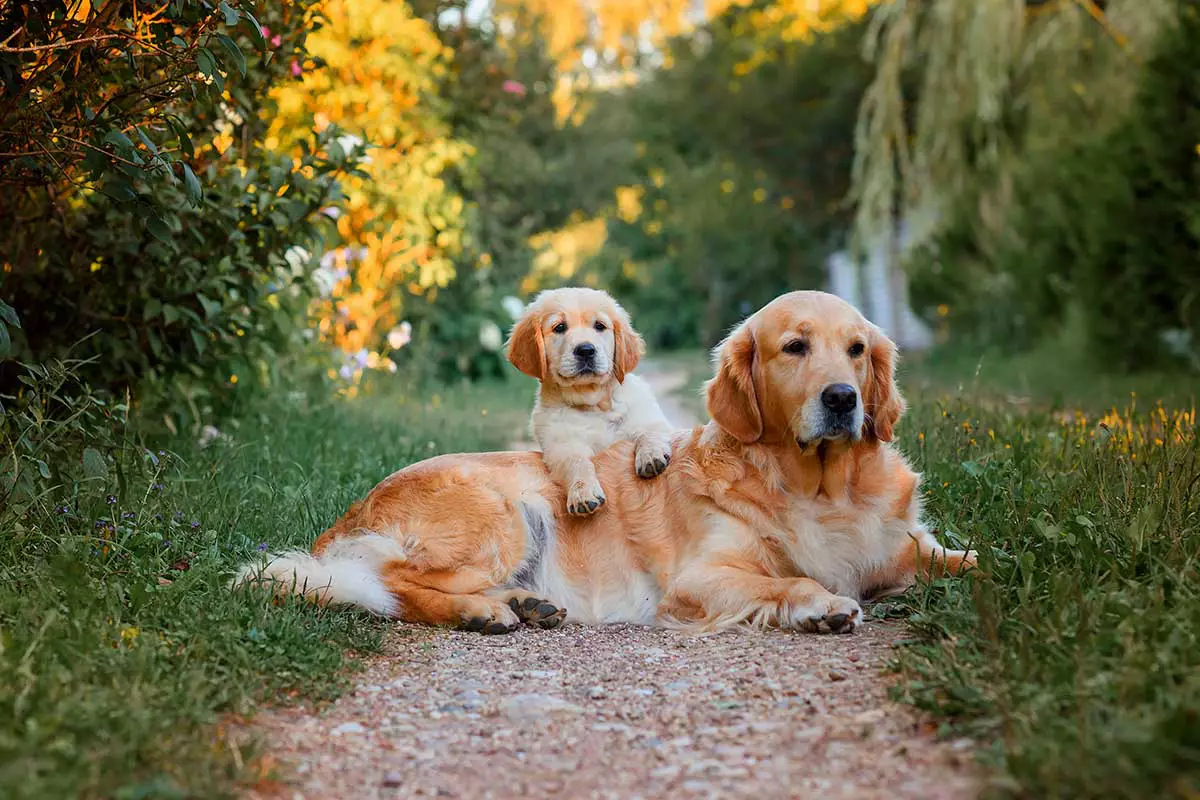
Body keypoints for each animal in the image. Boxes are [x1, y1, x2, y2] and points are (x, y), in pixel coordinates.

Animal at [504, 287, 676, 520]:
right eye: (559, 327)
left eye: (599, 326)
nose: (586, 350)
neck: (594, 405)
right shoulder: (562, 446)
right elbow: (578, 464)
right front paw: (582, 493)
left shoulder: (648, 419)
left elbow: (648, 433)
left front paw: (651, 455)